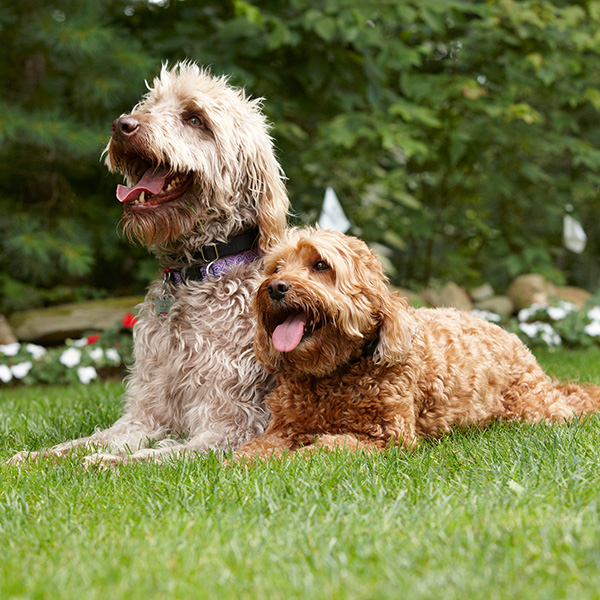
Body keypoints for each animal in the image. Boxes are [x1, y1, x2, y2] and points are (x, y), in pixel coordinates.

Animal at [8, 61, 290, 466]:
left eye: (194, 118)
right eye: (150, 106)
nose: (122, 125)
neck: (194, 275)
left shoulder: (231, 428)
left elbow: (151, 458)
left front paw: (102, 463)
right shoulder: (146, 413)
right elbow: (81, 443)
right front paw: (32, 458)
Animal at [233, 229, 600, 460]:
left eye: (320, 265)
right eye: (276, 268)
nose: (275, 287)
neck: (333, 374)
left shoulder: (389, 437)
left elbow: (326, 449)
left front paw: (292, 460)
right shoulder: (284, 428)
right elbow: (252, 450)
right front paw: (240, 463)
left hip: (531, 411)